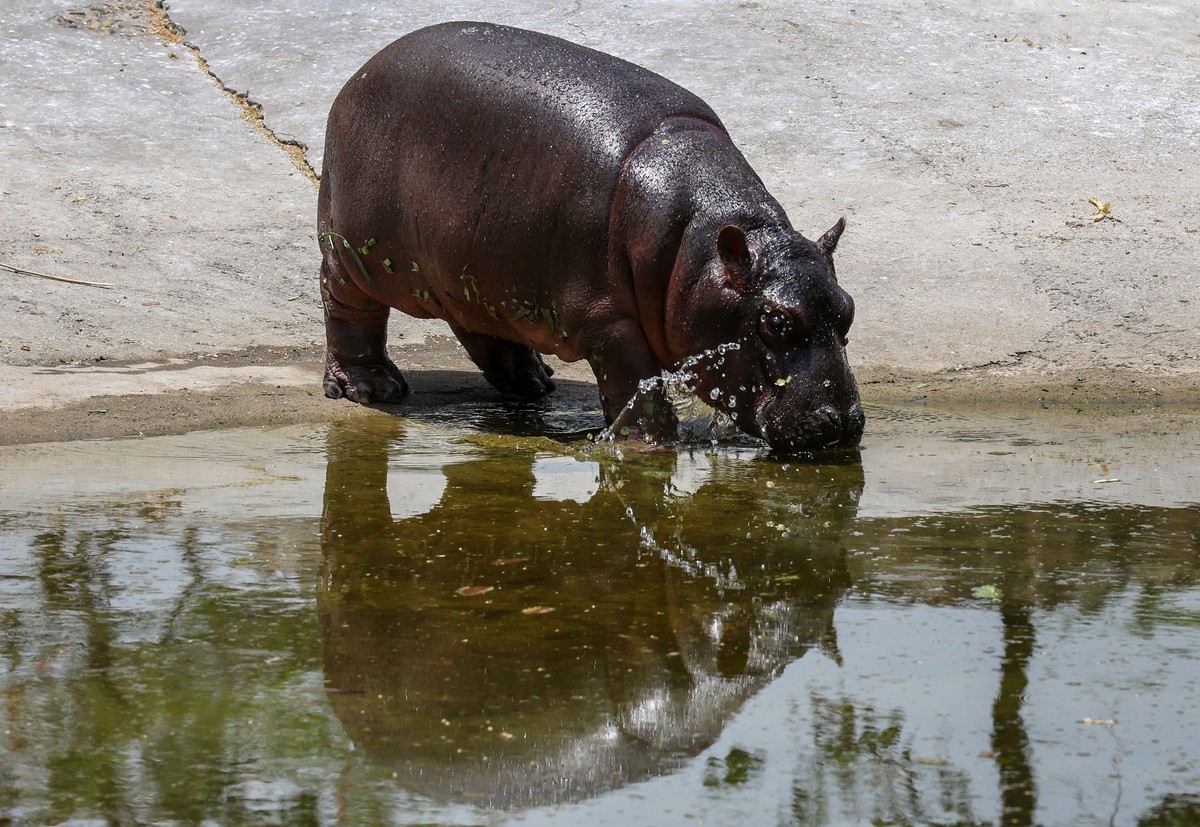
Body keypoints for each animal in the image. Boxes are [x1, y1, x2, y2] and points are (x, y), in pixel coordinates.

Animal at [318, 21, 864, 453]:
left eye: (848, 308)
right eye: (775, 321)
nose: (842, 422)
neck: (701, 246)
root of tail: (357, 77)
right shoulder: (607, 320)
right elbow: (636, 381)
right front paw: (650, 444)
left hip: (476, 262)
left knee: (477, 323)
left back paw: (532, 381)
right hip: (358, 254)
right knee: (346, 304)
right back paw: (371, 388)